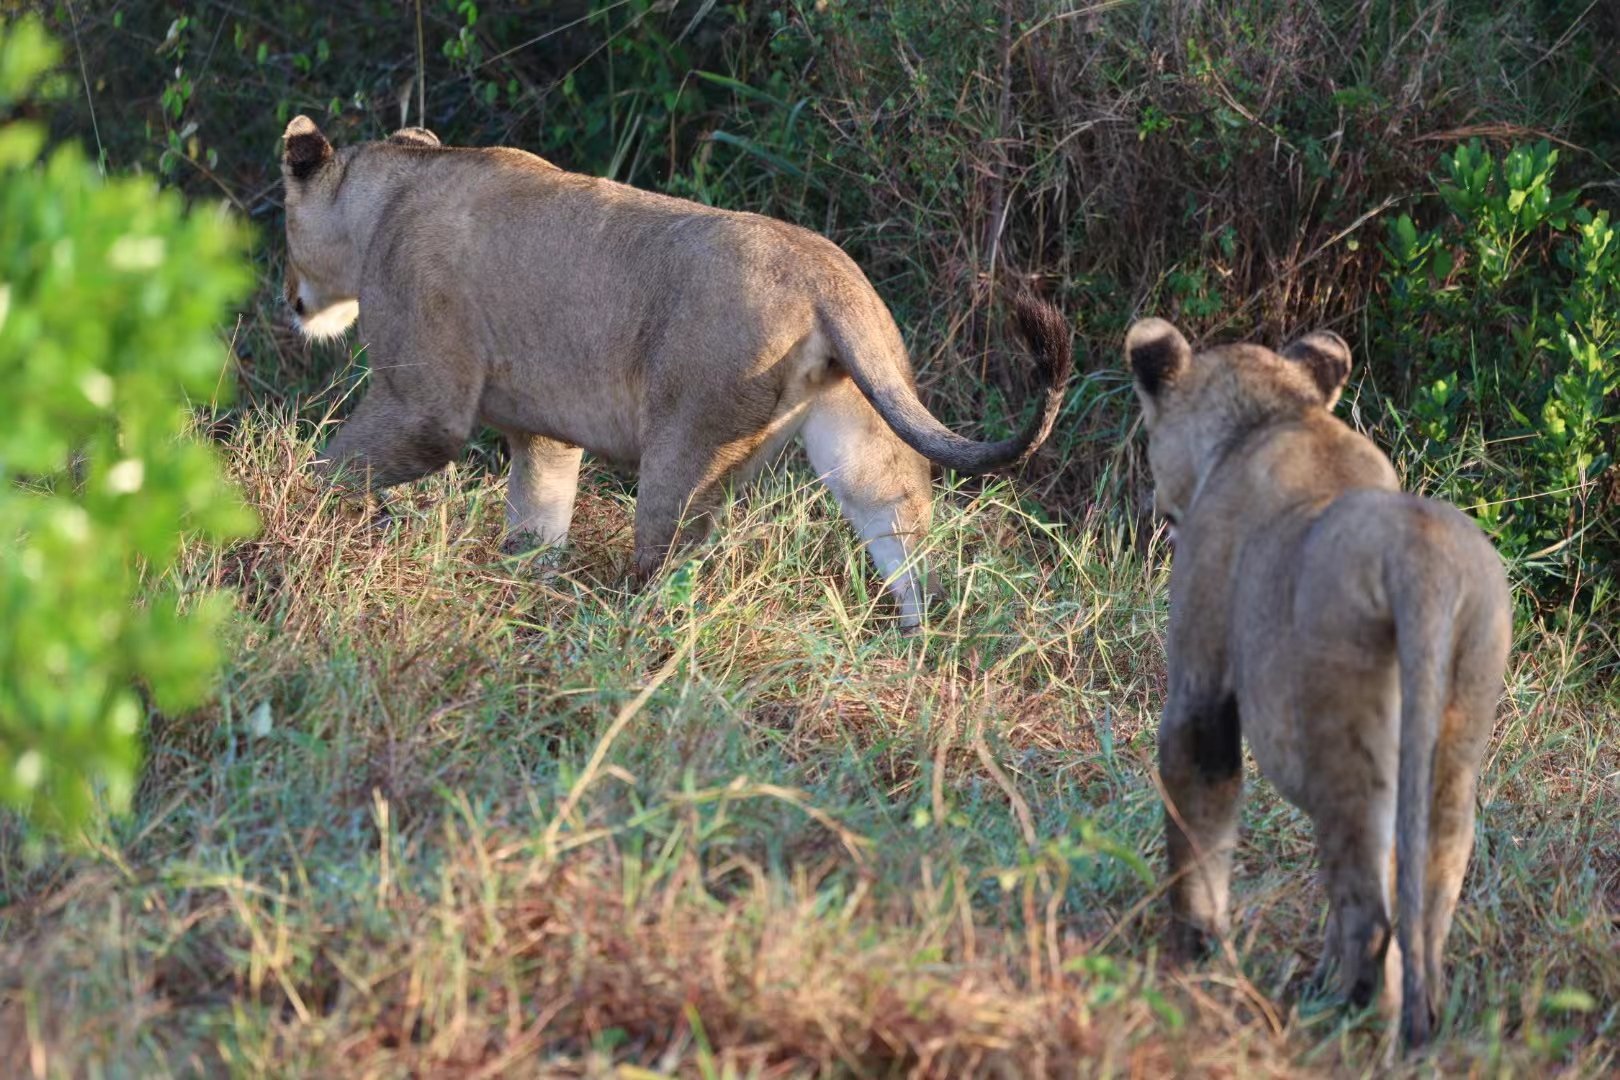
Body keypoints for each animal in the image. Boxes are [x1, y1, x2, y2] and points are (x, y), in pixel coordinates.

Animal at [278, 117, 1069, 625]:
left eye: (284, 222)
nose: (289, 301)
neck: (389, 196)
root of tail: (825, 279)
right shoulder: (545, 432)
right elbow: (536, 522)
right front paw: (519, 593)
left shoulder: (425, 401)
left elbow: (341, 466)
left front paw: (296, 512)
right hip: (866, 438)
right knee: (904, 546)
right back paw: (911, 648)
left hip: (685, 448)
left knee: (668, 571)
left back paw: (619, 643)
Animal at [1127, 314, 1516, 1049]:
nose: (1158, 509)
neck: (1274, 416)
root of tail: (1420, 562)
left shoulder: (1200, 679)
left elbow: (1198, 814)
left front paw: (1191, 962)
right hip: (1457, 732)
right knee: (1427, 895)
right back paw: (1410, 1022)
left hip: (1345, 745)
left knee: (1368, 910)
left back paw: (1339, 1024)